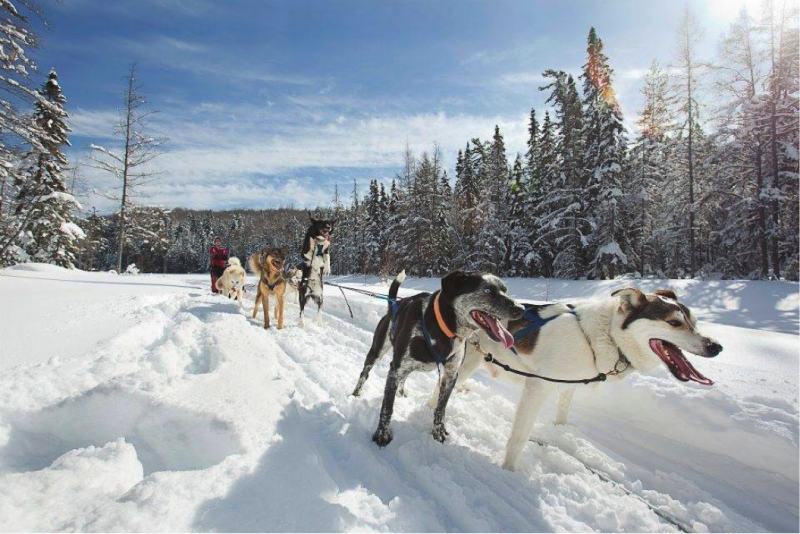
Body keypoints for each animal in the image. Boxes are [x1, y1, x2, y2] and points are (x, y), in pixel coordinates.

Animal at [354, 270, 524, 450]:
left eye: (505, 290)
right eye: (487, 290)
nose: (521, 309)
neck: (442, 328)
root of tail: (393, 306)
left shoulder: (450, 376)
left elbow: (441, 409)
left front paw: (438, 432)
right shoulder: (395, 370)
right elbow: (387, 408)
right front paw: (382, 434)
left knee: (404, 379)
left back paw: (401, 394)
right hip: (376, 352)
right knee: (364, 374)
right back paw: (356, 394)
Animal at [438, 288, 724, 474]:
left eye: (694, 322)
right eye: (674, 322)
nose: (716, 346)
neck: (602, 336)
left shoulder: (568, 384)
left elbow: (563, 409)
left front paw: (562, 429)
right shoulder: (537, 388)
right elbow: (519, 437)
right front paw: (509, 469)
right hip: (468, 362)